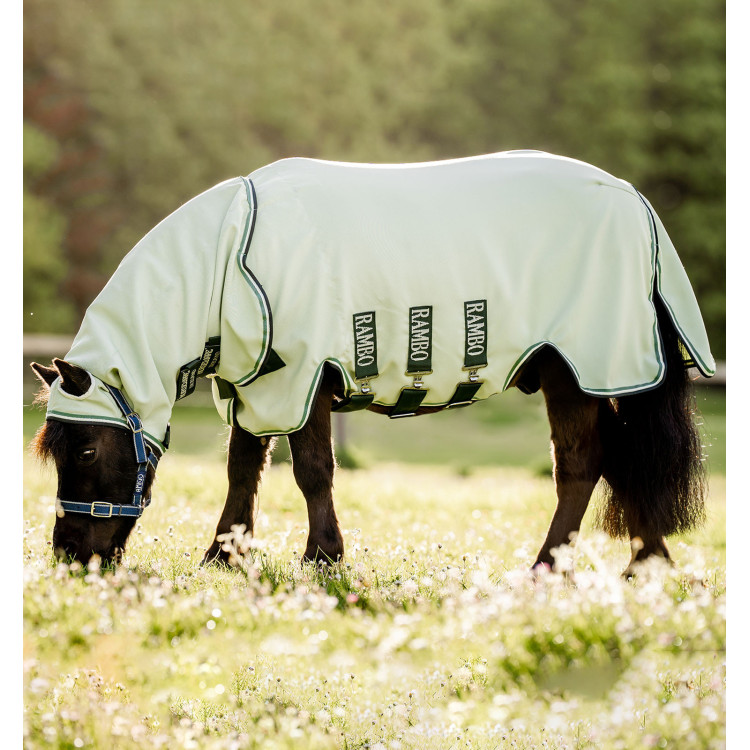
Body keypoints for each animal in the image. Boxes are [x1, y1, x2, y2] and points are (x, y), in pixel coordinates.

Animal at [29, 153, 712, 576]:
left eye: (85, 449)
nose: (69, 555)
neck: (232, 260)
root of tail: (638, 205)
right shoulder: (255, 391)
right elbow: (242, 471)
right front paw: (223, 558)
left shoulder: (304, 381)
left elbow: (311, 472)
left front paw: (321, 558)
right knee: (623, 459)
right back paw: (645, 563)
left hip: (578, 369)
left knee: (584, 464)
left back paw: (551, 567)